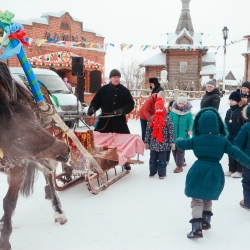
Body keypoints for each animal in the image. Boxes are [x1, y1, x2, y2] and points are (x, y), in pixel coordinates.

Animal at [0, 63, 70, 249]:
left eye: (33, 117)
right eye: (19, 136)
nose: (65, 150)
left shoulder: (19, 166)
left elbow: (9, 202)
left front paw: (4, 240)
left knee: (49, 177)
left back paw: (59, 212)